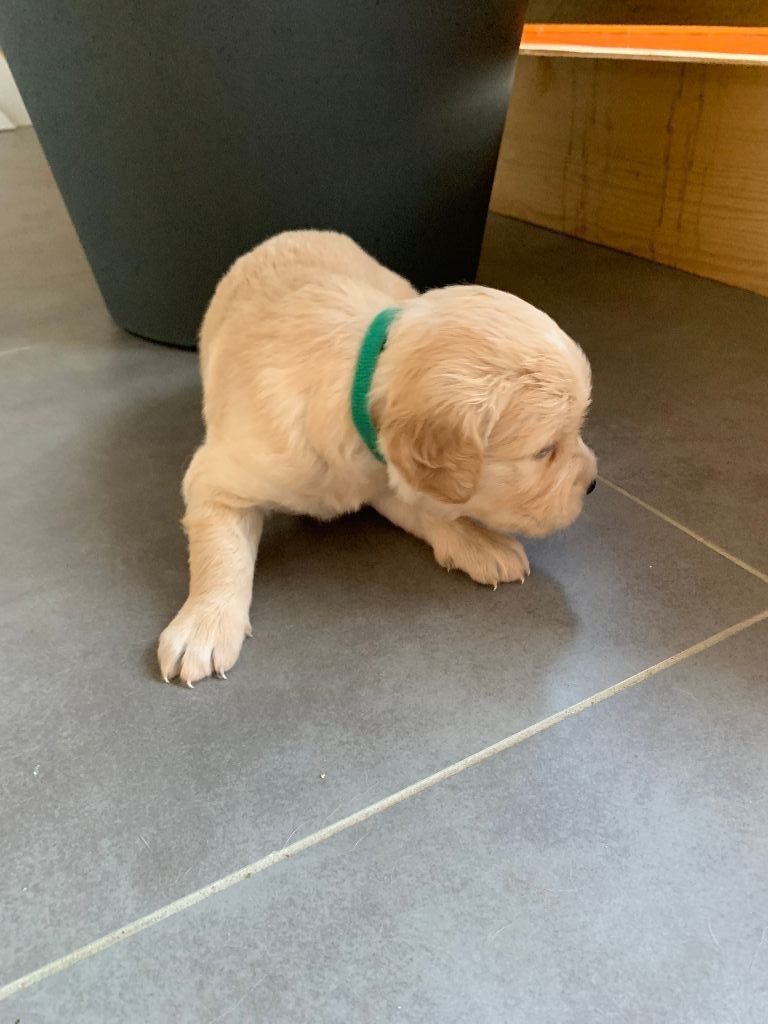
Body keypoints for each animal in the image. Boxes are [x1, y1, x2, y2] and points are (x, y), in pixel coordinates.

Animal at [158, 231, 597, 686]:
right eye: (544, 450)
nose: (593, 483)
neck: (360, 373)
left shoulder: (382, 476)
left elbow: (429, 507)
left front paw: (477, 541)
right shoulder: (218, 478)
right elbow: (222, 551)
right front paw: (204, 626)